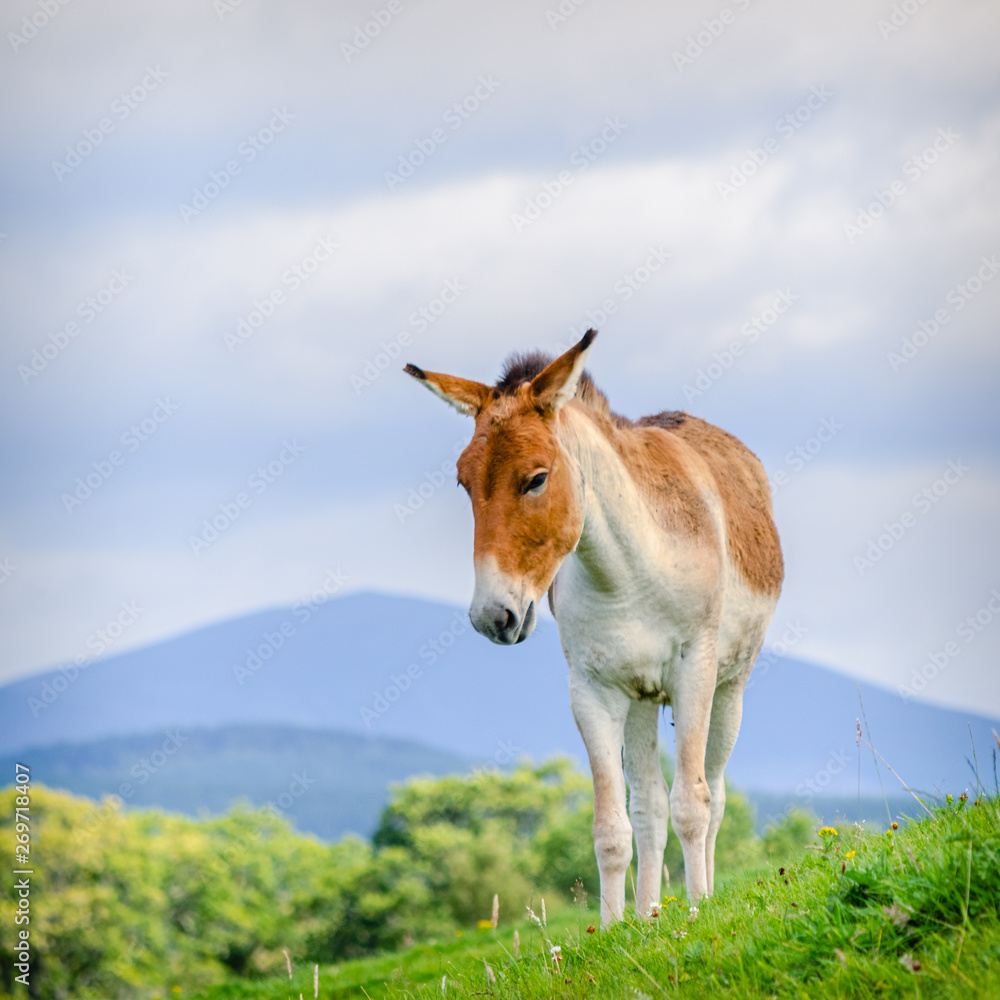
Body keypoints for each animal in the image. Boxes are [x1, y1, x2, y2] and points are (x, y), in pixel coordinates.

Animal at [404, 330, 783, 924]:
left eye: (537, 479)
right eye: (464, 482)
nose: (491, 617)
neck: (627, 572)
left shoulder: (693, 673)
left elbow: (693, 804)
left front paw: (698, 913)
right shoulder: (592, 692)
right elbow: (611, 828)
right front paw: (611, 930)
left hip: (728, 690)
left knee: (713, 794)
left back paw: (697, 899)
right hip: (642, 699)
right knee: (648, 805)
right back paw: (650, 914)